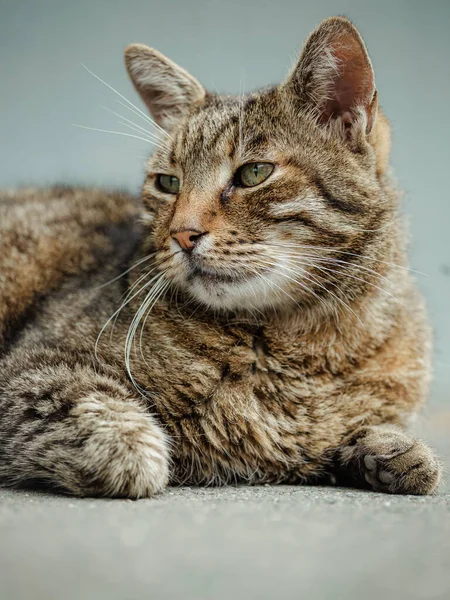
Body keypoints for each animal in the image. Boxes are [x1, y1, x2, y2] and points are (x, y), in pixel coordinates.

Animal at [0, 17, 442, 496]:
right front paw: (136, 450)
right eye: (168, 182)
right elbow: (101, 415)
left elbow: (369, 430)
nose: (182, 233)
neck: (303, 351)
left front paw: (392, 448)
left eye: (254, 173)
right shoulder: (29, 372)